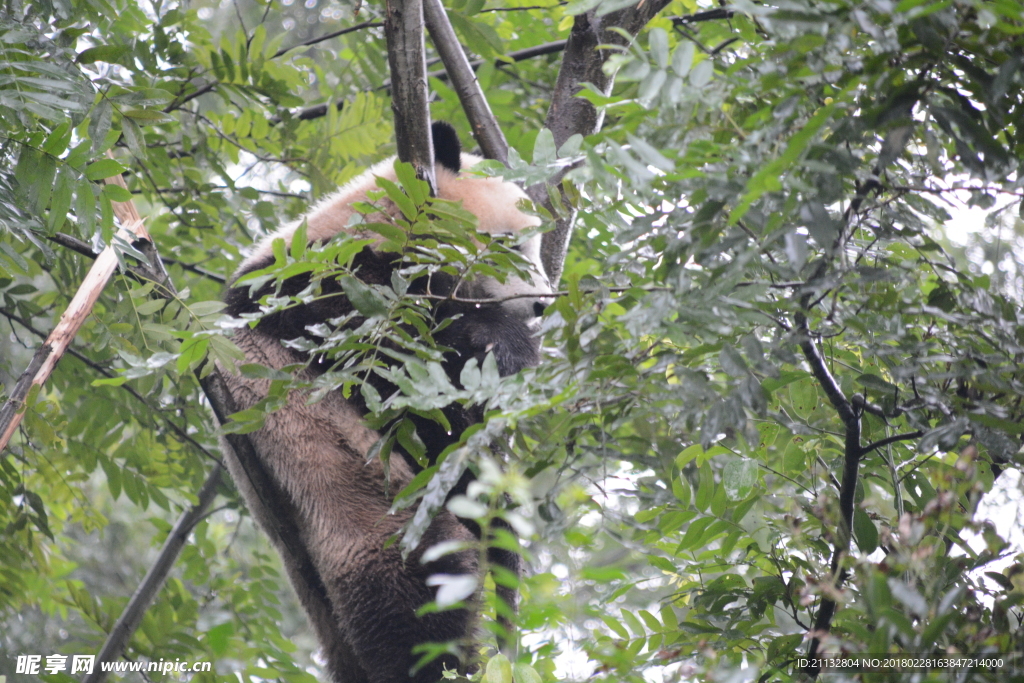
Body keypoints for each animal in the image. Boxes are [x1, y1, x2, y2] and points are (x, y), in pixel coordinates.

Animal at [218, 122, 552, 683]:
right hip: (357, 498)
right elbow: (391, 360)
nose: (542, 305)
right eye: (508, 243)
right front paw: (502, 344)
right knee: (412, 595)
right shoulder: (312, 289)